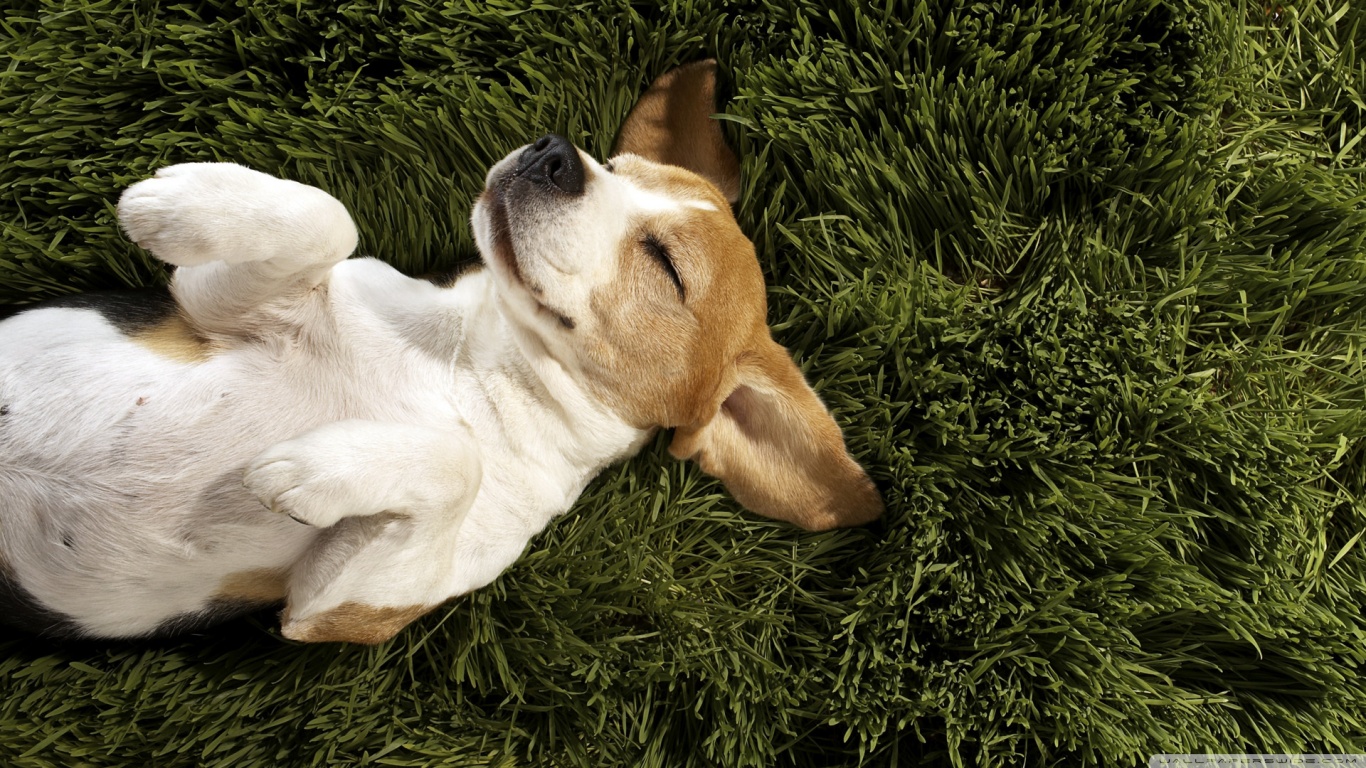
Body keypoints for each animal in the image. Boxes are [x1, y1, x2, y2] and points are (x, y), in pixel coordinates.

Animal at [0, 62, 879, 642]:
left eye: (666, 264)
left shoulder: (338, 610)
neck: (477, 374)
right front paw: (186, 196)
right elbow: (328, 215)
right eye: (614, 166)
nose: (554, 153)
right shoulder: (210, 302)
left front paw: (320, 467)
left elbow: (456, 464)